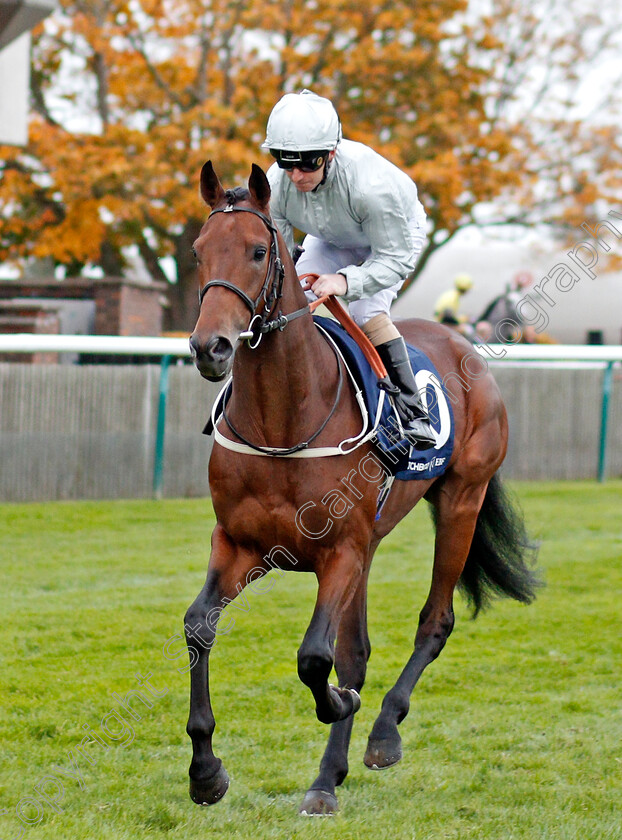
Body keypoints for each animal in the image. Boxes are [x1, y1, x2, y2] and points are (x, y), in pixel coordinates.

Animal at [185, 161, 540, 816]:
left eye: (256, 251)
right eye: (199, 251)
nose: (210, 347)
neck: (284, 424)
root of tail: (466, 349)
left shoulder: (339, 551)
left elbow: (315, 658)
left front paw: (341, 711)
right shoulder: (241, 545)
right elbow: (200, 626)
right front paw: (205, 771)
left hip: (461, 500)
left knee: (433, 621)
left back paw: (376, 739)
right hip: (373, 544)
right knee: (358, 649)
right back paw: (332, 773)